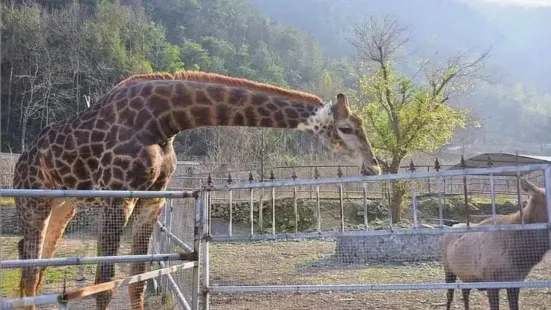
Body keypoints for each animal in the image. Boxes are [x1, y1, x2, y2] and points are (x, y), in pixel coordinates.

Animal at [14, 71, 384, 308]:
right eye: (346, 128)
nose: (374, 167)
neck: (164, 121)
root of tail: (21, 161)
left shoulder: (152, 199)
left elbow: (136, 281)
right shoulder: (117, 197)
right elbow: (104, 285)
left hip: (64, 205)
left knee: (35, 263)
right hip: (34, 202)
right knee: (29, 267)